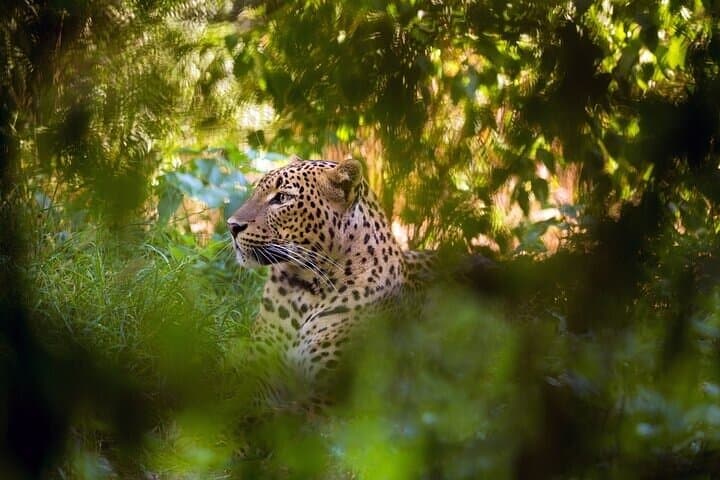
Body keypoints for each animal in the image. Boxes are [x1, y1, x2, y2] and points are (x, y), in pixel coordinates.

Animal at [227, 155, 434, 409]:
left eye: (282, 198)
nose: (231, 226)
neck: (302, 288)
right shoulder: (257, 365)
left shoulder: (333, 394)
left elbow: (277, 414)